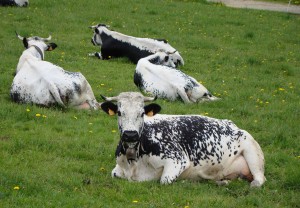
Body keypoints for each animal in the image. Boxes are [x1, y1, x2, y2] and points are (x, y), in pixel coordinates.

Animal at [101, 92, 268, 188]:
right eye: (119, 112)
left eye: (142, 113)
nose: (130, 135)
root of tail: (232, 124)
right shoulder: (118, 168)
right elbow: (114, 174)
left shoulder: (177, 159)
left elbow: (164, 180)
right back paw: (220, 181)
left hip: (252, 152)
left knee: (259, 180)